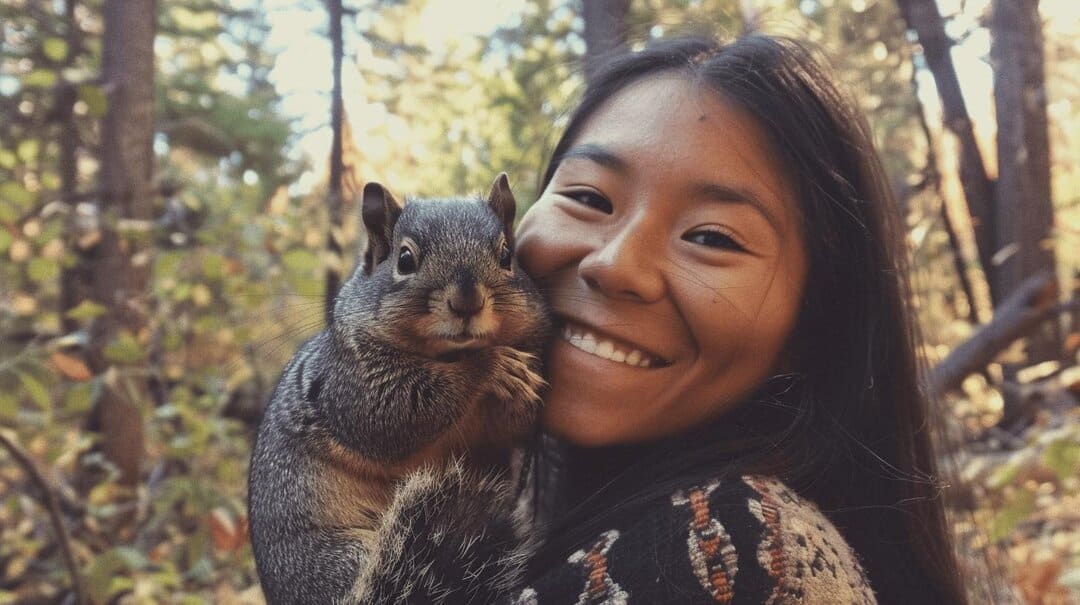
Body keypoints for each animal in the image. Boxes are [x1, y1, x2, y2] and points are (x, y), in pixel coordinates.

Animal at [248, 173, 550, 604]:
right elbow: (395, 414)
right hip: (340, 558)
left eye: (507, 255)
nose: (467, 301)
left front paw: (524, 384)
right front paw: (490, 366)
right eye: (405, 260)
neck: (448, 352)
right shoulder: (350, 381)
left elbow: (510, 427)